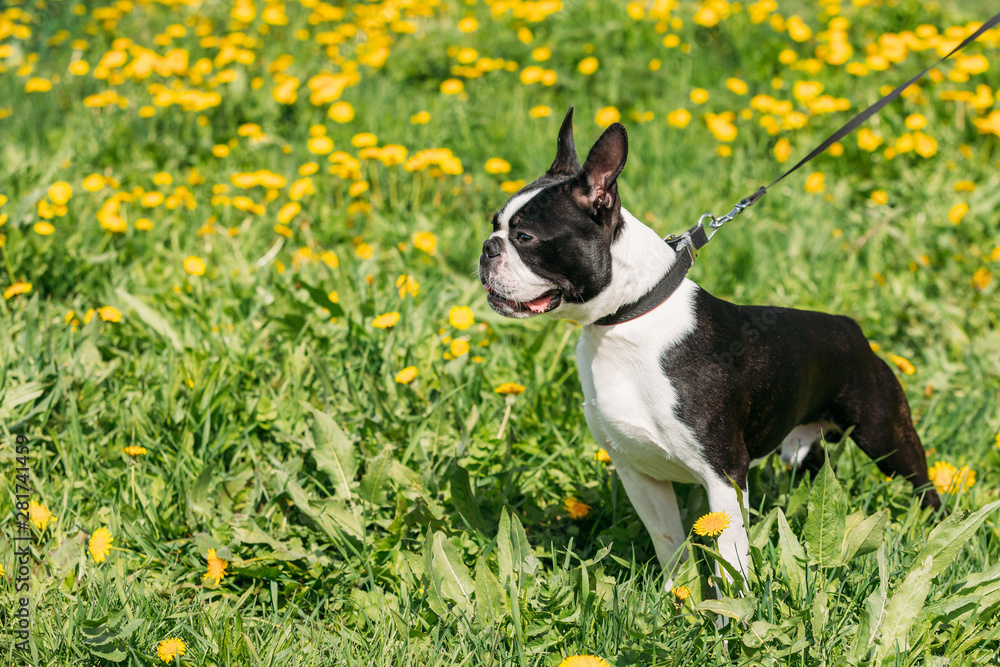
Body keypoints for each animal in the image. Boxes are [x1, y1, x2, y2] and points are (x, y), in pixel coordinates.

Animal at [480, 109, 940, 588]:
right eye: (495, 226)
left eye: (525, 237)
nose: (487, 249)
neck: (627, 319)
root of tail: (851, 328)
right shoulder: (638, 474)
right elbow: (669, 544)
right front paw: (677, 595)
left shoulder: (724, 477)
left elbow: (730, 558)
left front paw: (734, 607)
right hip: (802, 449)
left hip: (885, 434)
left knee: (924, 487)